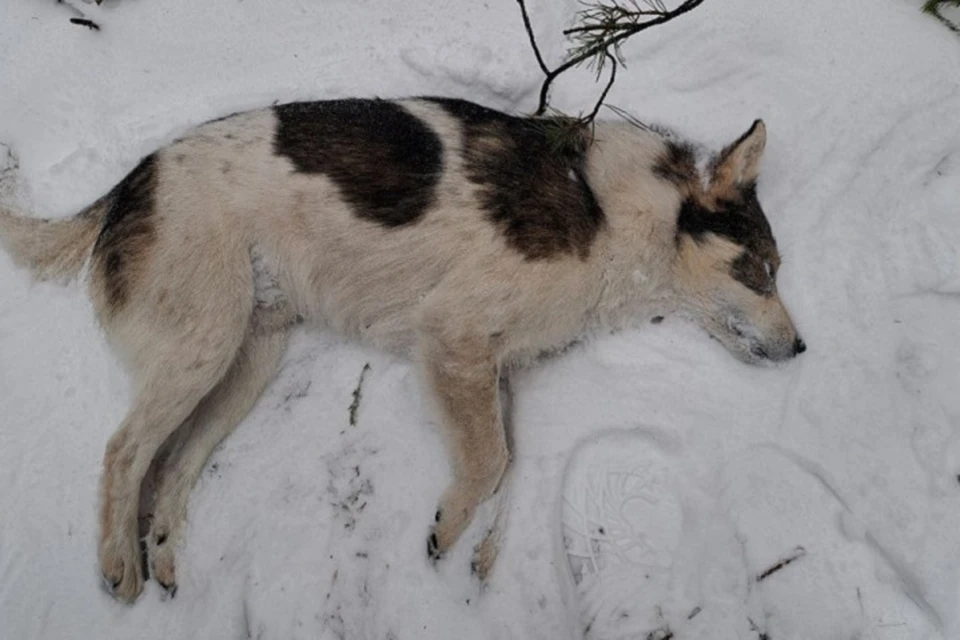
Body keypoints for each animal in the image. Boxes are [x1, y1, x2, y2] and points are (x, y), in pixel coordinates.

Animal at [0, 97, 804, 604]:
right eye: (760, 271)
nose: (800, 347)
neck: (618, 216)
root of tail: (130, 182)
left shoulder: (496, 369)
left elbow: (509, 467)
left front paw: (480, 555)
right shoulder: (451, 335)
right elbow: (490, 462)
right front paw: (447, 530)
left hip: (244, 364)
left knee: (171, 465)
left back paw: (161, 550)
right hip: (205, 344)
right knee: (124, 451)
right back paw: (117, 565)